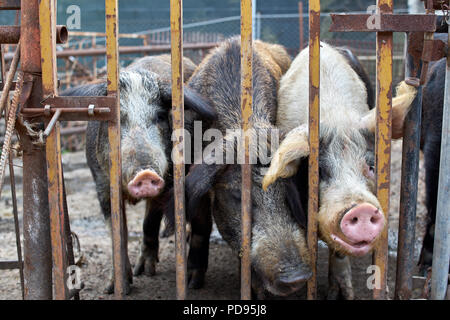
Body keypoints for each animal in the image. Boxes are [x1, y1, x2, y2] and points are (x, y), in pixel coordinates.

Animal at [61, 53, 216, 294]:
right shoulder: (102, 185)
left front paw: (148, 272)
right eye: (116, 120)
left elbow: (149, 221)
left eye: (160, 116)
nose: (145, 175)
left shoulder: (168, 182)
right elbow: (117, 232)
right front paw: (115, 287)